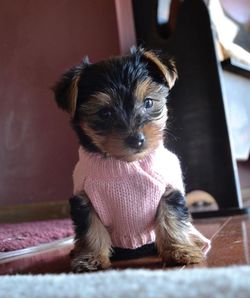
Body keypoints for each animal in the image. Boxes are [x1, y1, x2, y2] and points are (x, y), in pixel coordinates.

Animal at [53, 47, 211, 272]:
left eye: (148, 102)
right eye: (105, 113)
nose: (136, 139)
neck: (125, 164)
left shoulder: (168, 189)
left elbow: (171, 218)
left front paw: (180, 251)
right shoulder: (84, 197)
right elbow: (91, 227)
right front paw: (91, 258)